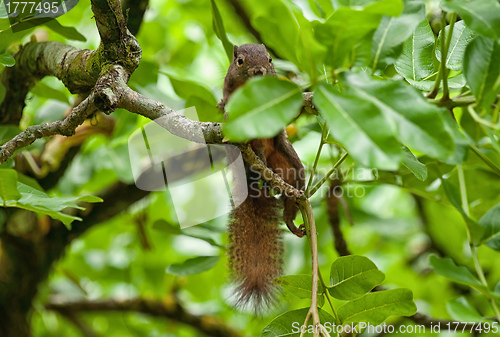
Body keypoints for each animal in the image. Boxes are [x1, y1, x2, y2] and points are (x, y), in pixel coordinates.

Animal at [221, 44, 306, 310]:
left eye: (270, 59)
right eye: (239, 61)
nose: (259, 70)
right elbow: (227, 102)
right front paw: (223, 107)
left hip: (289, 164)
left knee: (292, 196)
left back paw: (290, 220)